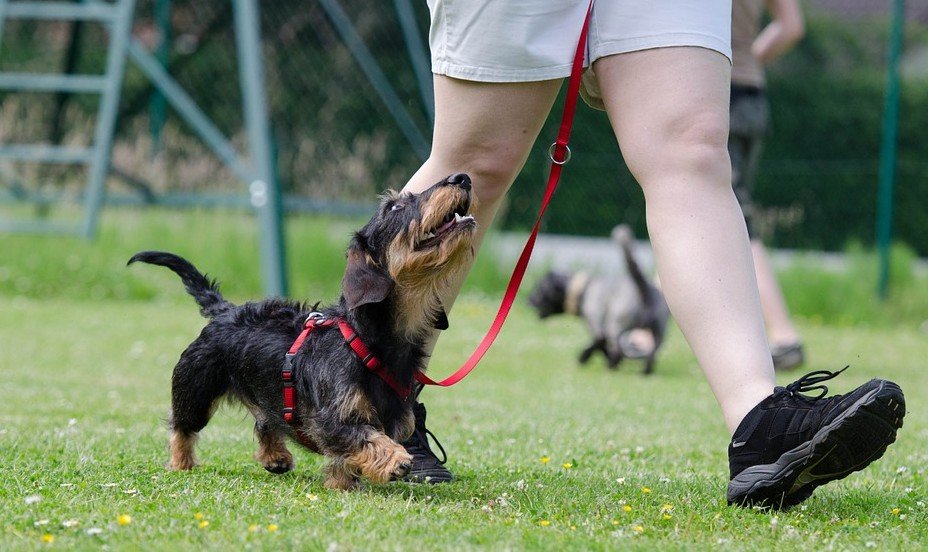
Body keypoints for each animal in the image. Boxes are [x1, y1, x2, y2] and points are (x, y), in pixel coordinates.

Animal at [524, 225, 672, 376]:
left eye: (539, 289)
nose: (527, 301)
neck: (583, 289)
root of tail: (644, 287)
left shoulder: (597, 325)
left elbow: (599, 344)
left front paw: (584, 357)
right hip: (658, 332)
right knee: (652, 354)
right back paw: (644, 372)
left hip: (616, 325)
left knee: (617, 348)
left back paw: (611, 366)